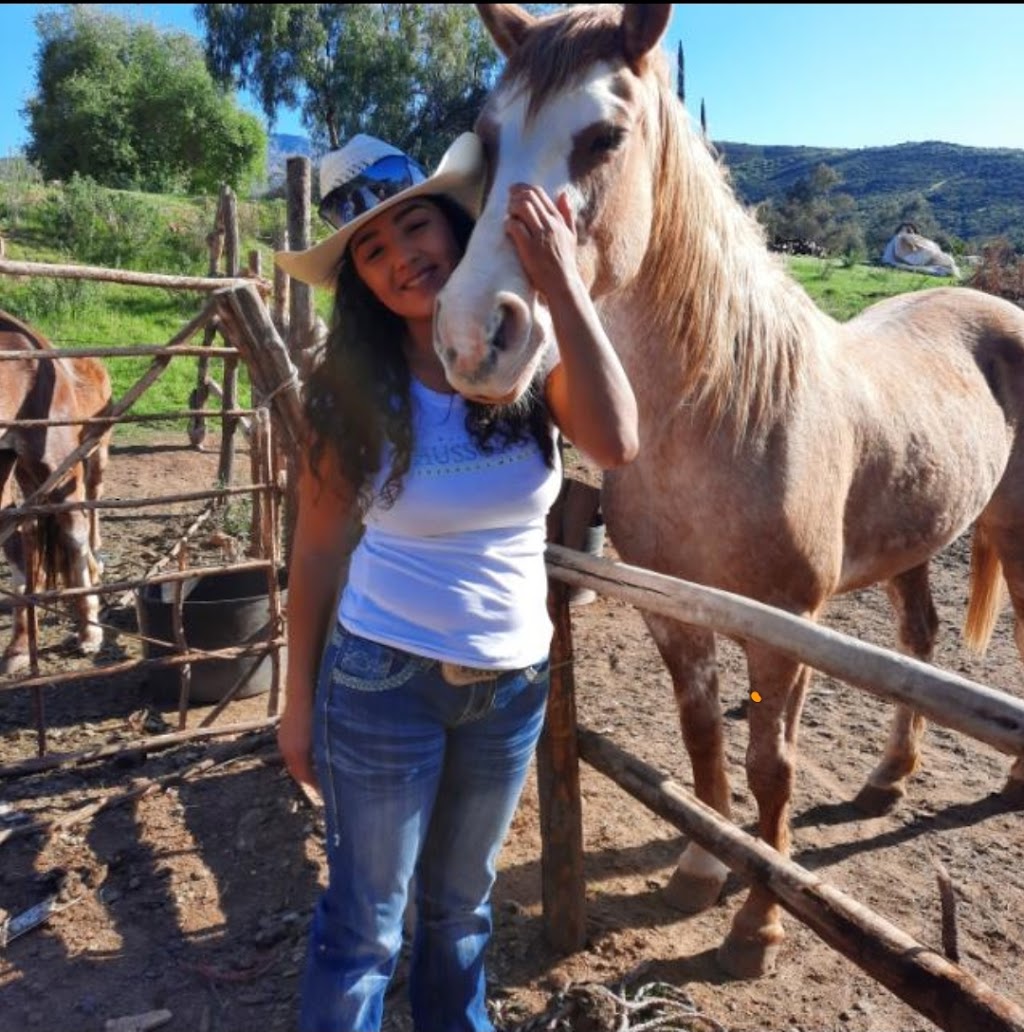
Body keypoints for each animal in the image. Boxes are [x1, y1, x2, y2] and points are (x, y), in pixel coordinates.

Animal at [435, 0, 1024, 978]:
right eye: (487, 137)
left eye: (603, 137)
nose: (473, 336)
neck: (721, 411)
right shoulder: (675, 614)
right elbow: (703, 740)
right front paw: (702, 867)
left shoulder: (785, 629)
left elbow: (769, 768)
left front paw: (760, 924)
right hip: (913, 540)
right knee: (920, 637)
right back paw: (885, 780)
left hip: (1013, 533)